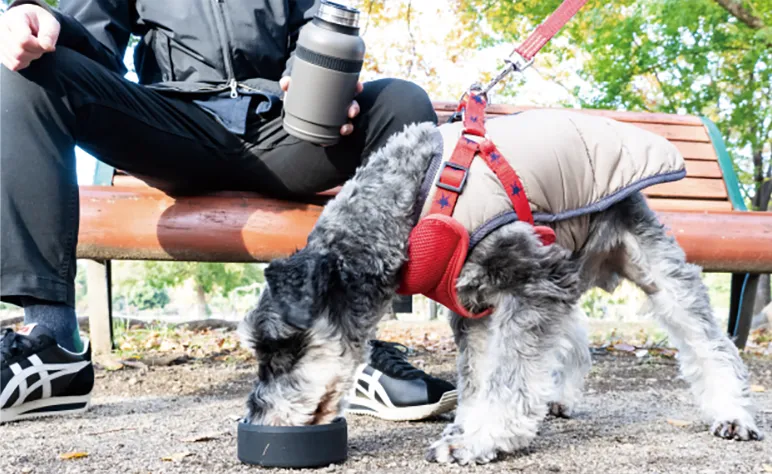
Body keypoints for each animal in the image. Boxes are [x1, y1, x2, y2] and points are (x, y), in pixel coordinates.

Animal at [238, 113, 764, 464]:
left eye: (282, 349)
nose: (259, 417)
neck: (410, 203)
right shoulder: (482, 308)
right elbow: (480, 377)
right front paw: (471, 427)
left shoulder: (530, 286)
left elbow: (508, 378)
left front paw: (483, 439)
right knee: (575, 342)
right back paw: (559, 397)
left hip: (652, 267)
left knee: (706, 340)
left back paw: (734, 415)